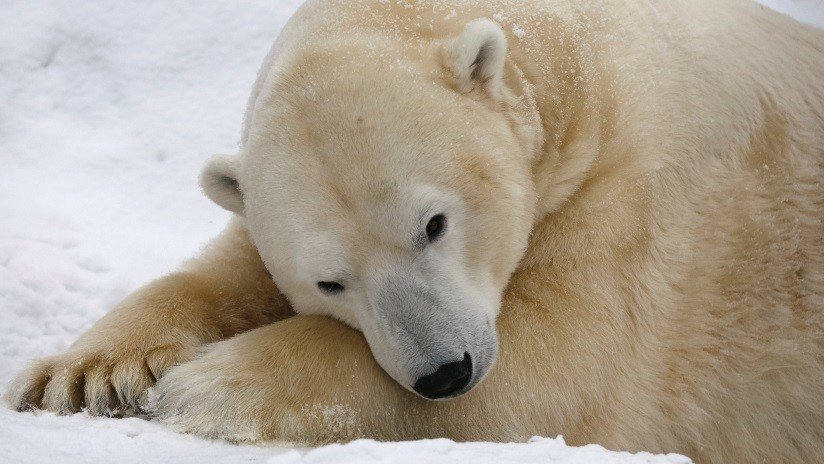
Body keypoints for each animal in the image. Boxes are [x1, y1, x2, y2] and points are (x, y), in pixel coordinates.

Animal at [6, 0, 823, 462]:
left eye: (434, 223)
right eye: (329, 280)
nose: (445, 372)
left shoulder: (643, 193)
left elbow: (563, 363)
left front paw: (209, 383)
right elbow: (228, 268)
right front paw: (84, 374)